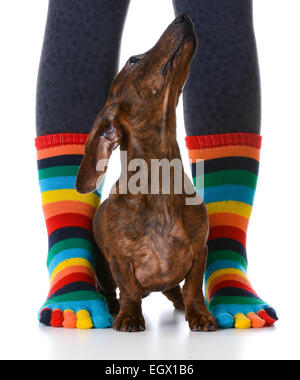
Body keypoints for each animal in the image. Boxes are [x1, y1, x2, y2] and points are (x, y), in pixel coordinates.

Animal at [75, 14, 216, 332]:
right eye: (133, 60)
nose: (183, 17)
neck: (161, 181)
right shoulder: (119, 261)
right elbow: (128, 289)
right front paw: (128, 316)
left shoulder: (199, 252)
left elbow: (193, 289)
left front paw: (200, 315)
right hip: (103, 272)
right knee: (113, 291)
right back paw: (113, 307)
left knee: (176, 291)